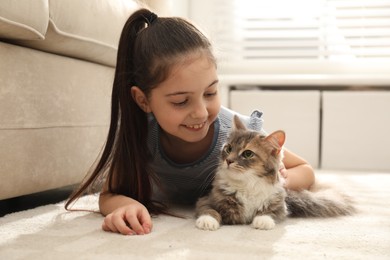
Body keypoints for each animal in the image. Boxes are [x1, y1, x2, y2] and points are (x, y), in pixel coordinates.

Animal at [194, 115, 354, 231]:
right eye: (228, 149)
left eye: (247, 153)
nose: (228, 161)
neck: (247, 185)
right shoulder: (206, 200)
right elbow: (209, 210)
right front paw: (207, 222)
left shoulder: (280, 207)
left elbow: (269, 212)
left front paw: (262, 221)